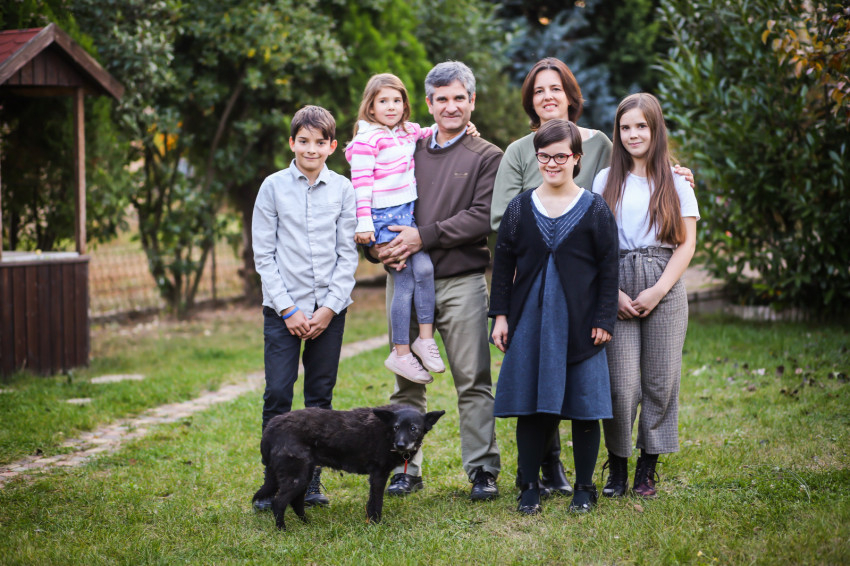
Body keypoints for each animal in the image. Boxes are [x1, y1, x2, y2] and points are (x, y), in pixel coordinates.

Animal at [252, 404, 444, 531]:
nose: (400, 445)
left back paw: (307, 524)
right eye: (396, 427)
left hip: (303, 475)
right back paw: (282, 530)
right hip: (296, 476)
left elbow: (371, 502)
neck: (387, 432)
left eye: (413, 428)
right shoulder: (378, 475)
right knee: (279, 502)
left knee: (296, 502)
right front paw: (376, 524)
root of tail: (270, 427)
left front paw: (370, 522)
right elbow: (377, 502)